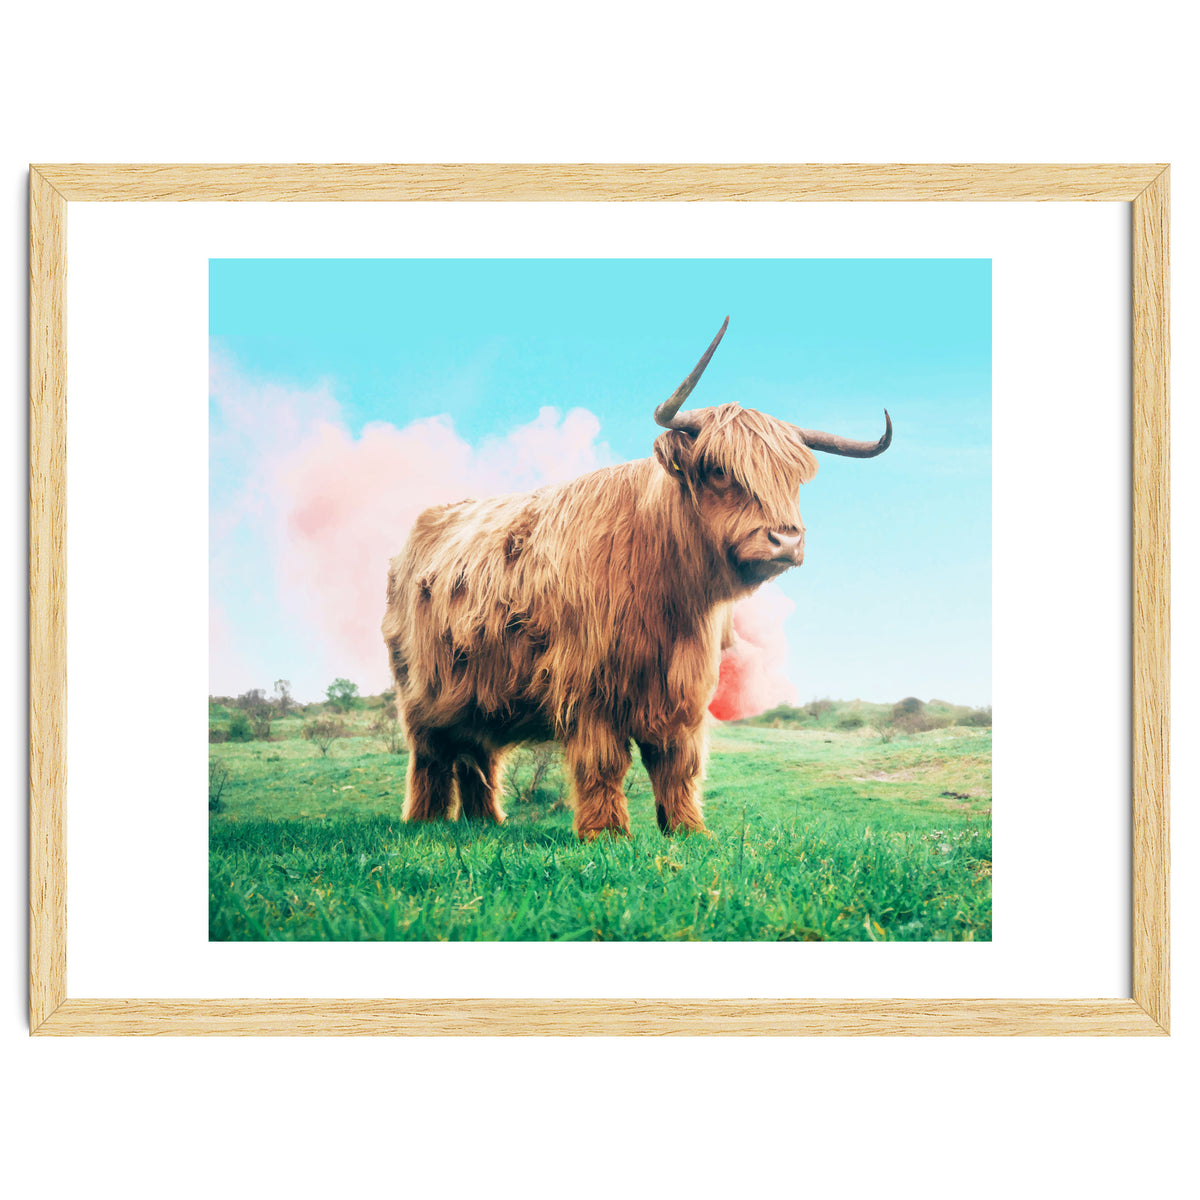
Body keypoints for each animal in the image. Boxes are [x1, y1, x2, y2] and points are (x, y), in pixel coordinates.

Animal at [381, 319, 892, 839]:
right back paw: (425, 821)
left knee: (476, 753)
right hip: (422, 691)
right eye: (719, 470)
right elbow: (603, 762)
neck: (668, 594)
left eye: (793, 480)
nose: (786, 540)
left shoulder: (683, 689)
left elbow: (677, 762)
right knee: (431, 754)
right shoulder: (589, 684)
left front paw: (688, 829)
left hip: (477, 692)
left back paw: (485, 822)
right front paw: (606, 833)